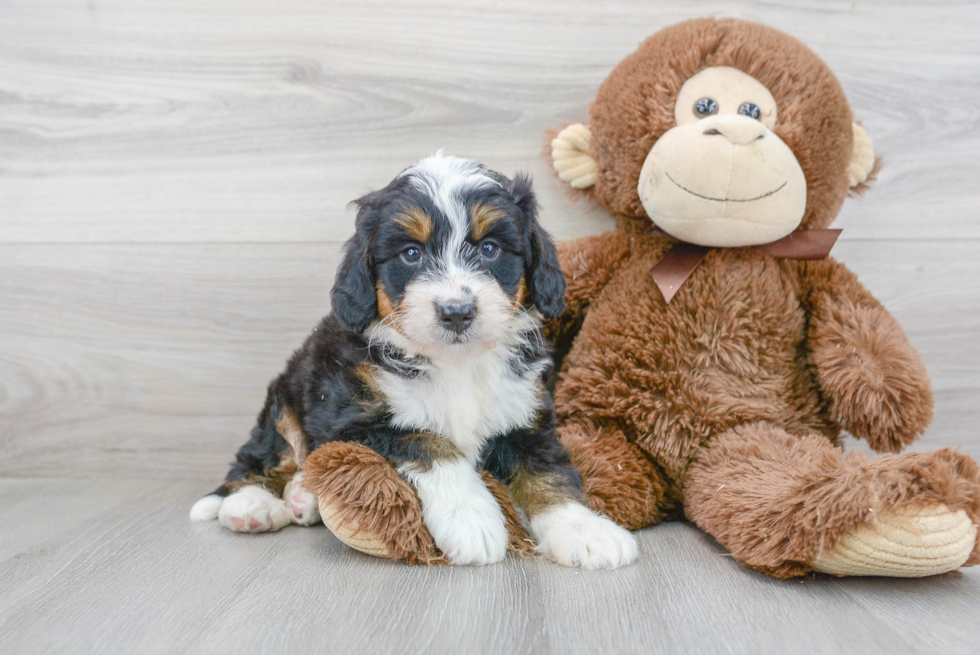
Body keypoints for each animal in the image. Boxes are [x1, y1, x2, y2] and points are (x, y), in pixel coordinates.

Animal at [190, 155, 636, 568]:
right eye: (410, 254)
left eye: (490, 248)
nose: (456, 312)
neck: (456, 362)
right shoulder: (359, 419)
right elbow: (431, 443)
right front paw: (472, 520)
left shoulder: (524, 413)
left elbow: (548, 471)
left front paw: (583, 529)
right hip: (287, 395)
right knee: (262, 455)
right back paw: (251, 504)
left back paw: (304, 498)